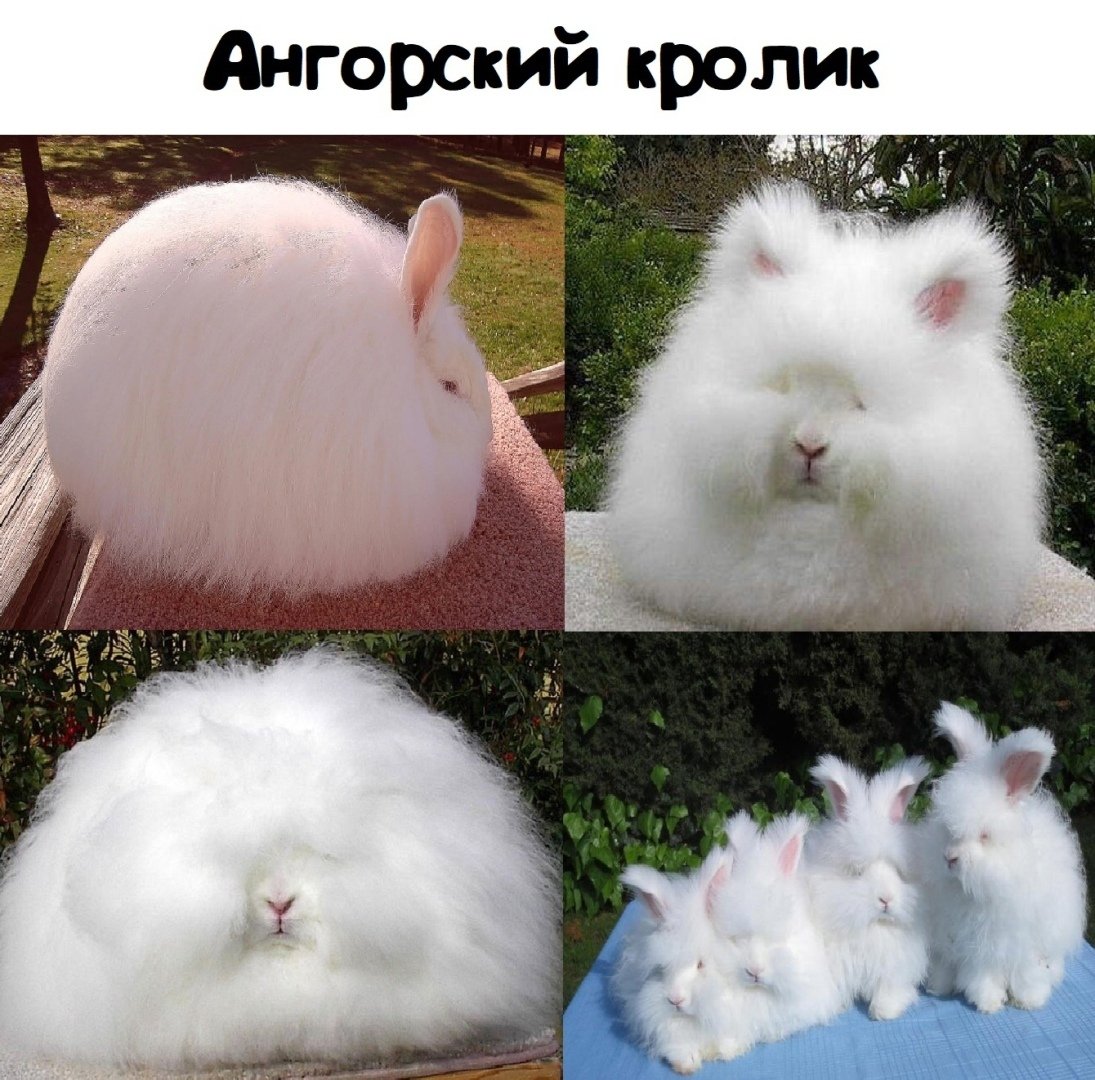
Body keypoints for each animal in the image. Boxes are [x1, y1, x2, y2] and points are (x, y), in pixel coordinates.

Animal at [805, 755, 931, 1020]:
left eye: (898, 872)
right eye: (857, 872)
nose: (885, 899)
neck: (873, 929)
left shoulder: (895, 968)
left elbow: (888, 990)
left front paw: (884, 1012)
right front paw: (839, 1006)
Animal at [917, 701, 1087, 1013]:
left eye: (985, 835)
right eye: (946, 827)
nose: (950, 858)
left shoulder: (1018, 942)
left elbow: (1026, 973)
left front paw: (1028, 1000)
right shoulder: (977, 947)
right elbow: (982, 975)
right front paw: (989, 1002)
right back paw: (940, 986)